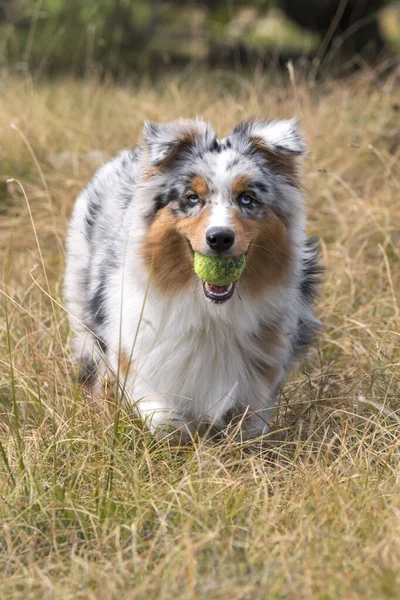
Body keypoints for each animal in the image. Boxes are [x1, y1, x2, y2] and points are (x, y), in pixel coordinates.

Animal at [65, 118, 322, 440]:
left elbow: (247, 422)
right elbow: (162, 414)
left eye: (247, 198)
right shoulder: (139, 351)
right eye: (192, 198)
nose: (220, 238)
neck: (211, 310)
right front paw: (180, 434)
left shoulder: (261, 372)